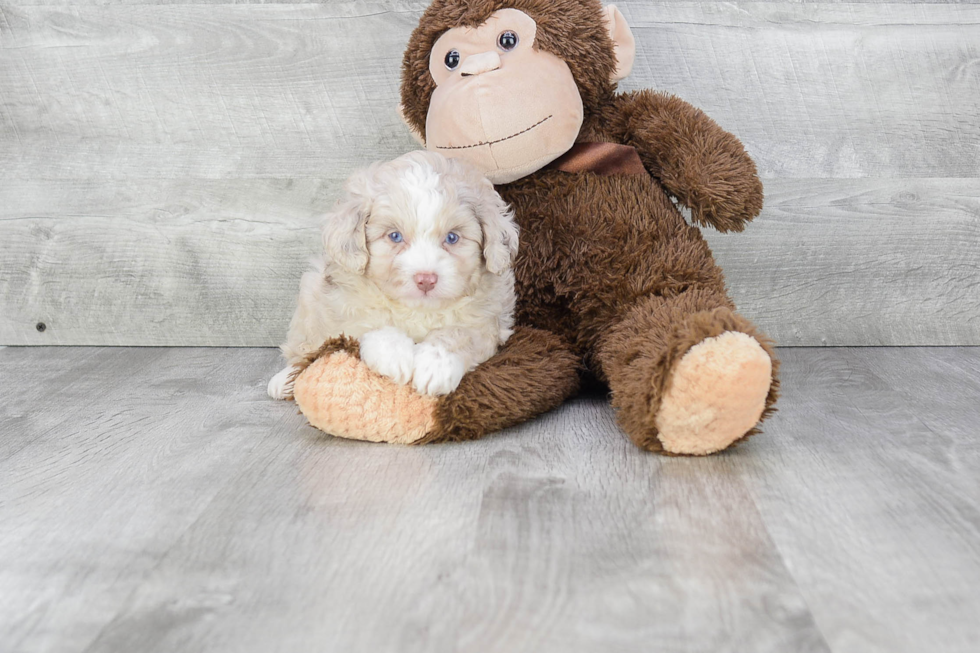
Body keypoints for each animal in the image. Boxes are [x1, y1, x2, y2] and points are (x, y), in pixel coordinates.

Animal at [264, 150, 516, 400]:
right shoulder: (345, 306)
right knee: (304, 346)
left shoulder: (487, 321)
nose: (426, 279)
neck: (417, 311)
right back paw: (283, 381)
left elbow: (459, 333)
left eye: (452, 238)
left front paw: (435, 365)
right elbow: (371, 324)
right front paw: (395, 355)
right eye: (395, 236)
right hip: (311, 292)